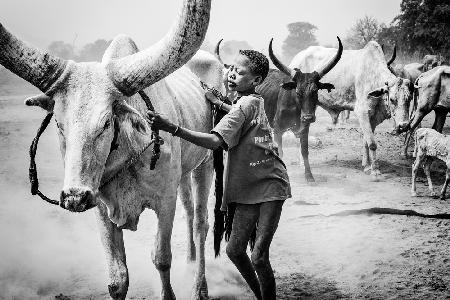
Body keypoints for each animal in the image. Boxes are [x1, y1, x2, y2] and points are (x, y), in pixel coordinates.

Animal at [0, 0, 214, 300]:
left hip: (206, 164)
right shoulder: (101, 207)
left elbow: (161, 258)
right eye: (59, 123)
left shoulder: (164, 201)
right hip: (184, 173)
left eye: (105, 123)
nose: (74, 197)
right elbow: (117, 279)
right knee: (191, 211)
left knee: (200, 224)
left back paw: (200, 286)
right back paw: (191, 263)